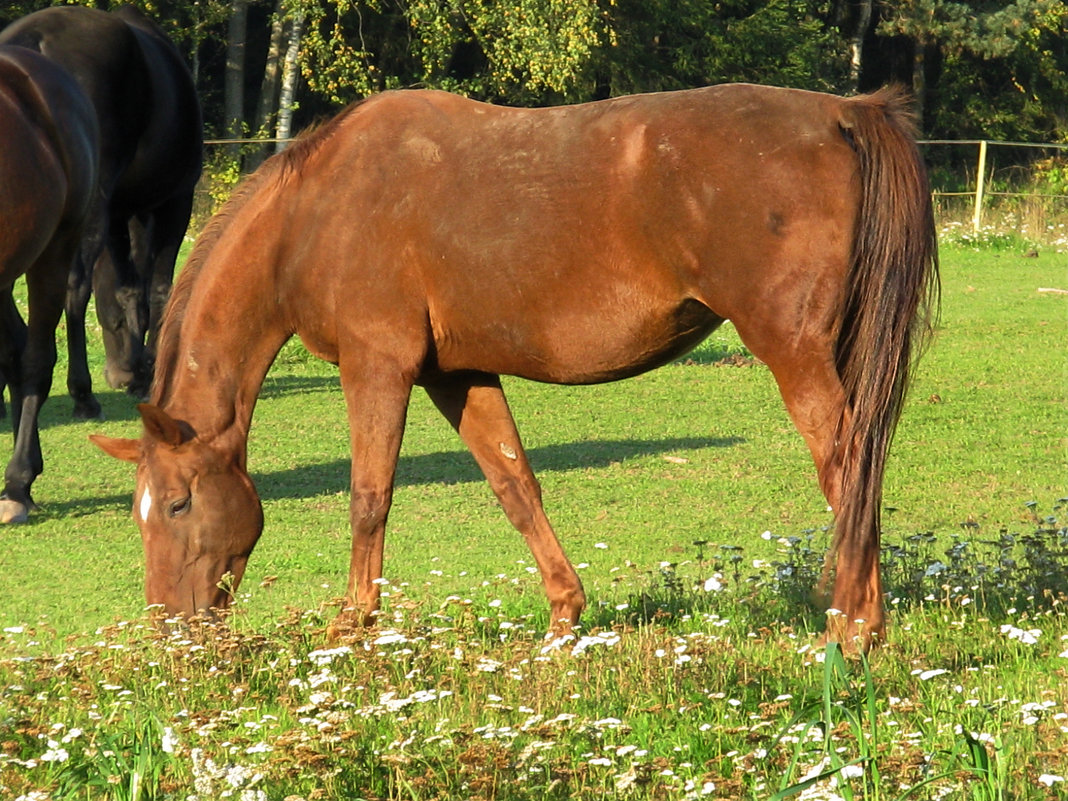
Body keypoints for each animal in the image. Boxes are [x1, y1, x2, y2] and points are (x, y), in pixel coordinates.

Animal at [0, 4, 201, 420]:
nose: (119, 375)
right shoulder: (175, 202)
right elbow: (158, 288)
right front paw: (151, 367)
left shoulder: (122, 214)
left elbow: (128, 288)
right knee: (75, 289)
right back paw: (83, 393)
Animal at [93, 86, 944, 653]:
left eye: (177, 504)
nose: (170, 633)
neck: (316, 212)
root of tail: (843, 111)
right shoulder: (457, 375)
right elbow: (515, 486)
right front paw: (565, 611)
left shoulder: (378, 367)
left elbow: (369, 497)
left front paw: (352, 625)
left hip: (793, 352)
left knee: (849, 467)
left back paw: (852, 628)